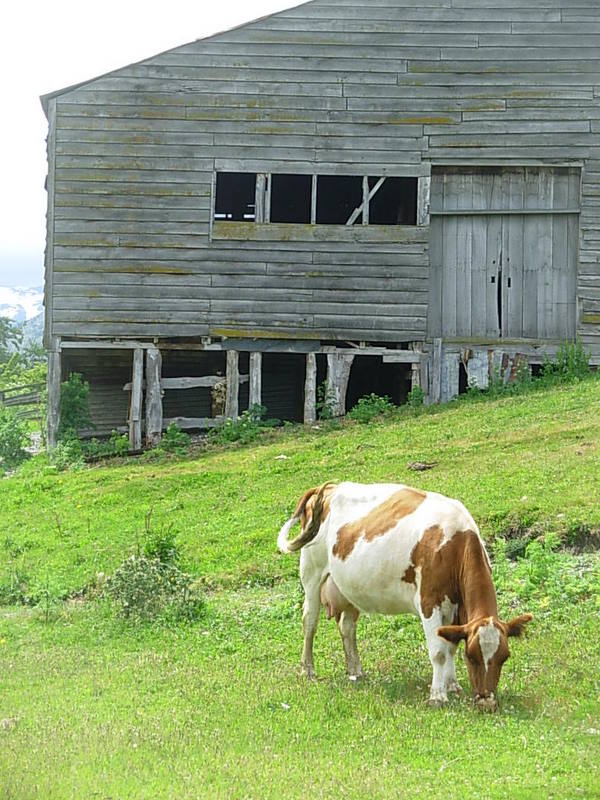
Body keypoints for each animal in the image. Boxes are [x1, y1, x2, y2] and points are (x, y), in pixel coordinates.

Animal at [276, 482, 528, 712]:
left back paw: (356, 671)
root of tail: (330, 487)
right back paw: (308, 670)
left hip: (349, 586)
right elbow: (438, 652)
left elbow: (450, 647)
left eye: (505, 656)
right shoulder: (429, 602)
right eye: (472, 656)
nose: (487, 702)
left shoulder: (456, 610)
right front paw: (438, 696)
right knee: (310, 622)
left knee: (347, 626)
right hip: (311, 573)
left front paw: (452, 685)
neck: (453, 544)